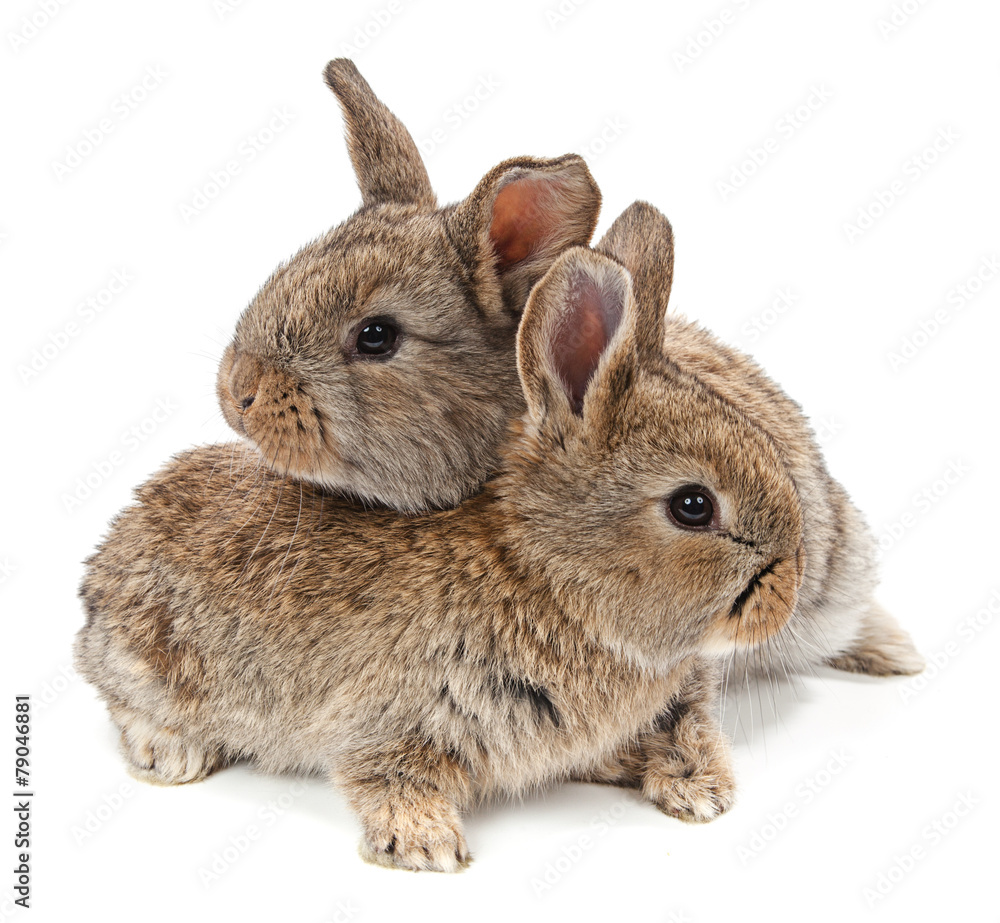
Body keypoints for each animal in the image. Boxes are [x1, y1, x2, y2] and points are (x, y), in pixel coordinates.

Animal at [76, 201, 818, 872]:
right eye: (693, 505)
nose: (788, 588)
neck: (547, 576)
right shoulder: (398, 714)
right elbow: (386, 775)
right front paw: (426, 846)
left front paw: (695, 789)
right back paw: (171, 753)